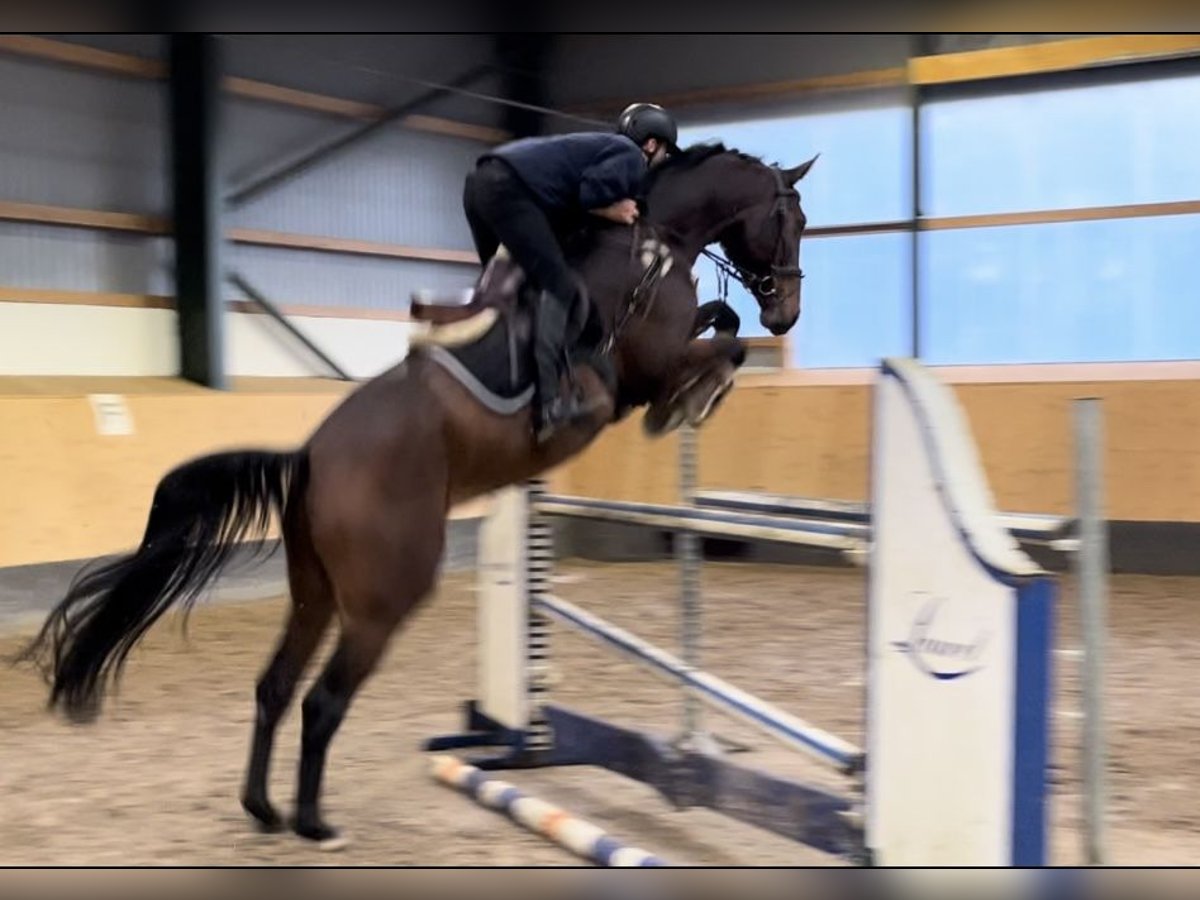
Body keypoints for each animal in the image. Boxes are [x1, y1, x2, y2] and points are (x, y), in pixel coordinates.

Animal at [16, 144, 816, 849]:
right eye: (794, 217)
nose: (787, 314)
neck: (652, 237)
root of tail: (310, 458)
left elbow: (723, 327)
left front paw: (707, 384)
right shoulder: (644, 363)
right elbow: (720, 343)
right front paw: (692, 401)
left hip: (315, 592)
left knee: (275, 686)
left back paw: (263, 809)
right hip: (383, 597)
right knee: (322, 699)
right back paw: (315, 824)